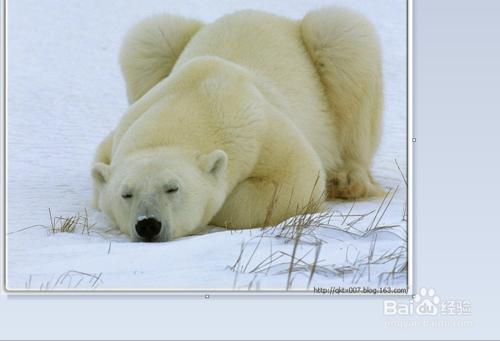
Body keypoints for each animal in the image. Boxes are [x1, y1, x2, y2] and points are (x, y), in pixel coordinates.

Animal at [92, 8, 384, 242]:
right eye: (126, 194)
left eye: (173, 187)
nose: (148, 225)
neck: (196, 96)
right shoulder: (125, 127)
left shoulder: (261, 129)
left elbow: (299, 178)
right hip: (160, 45)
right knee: (149, 39)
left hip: (333, 54)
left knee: (344, 42)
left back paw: (347, 180)